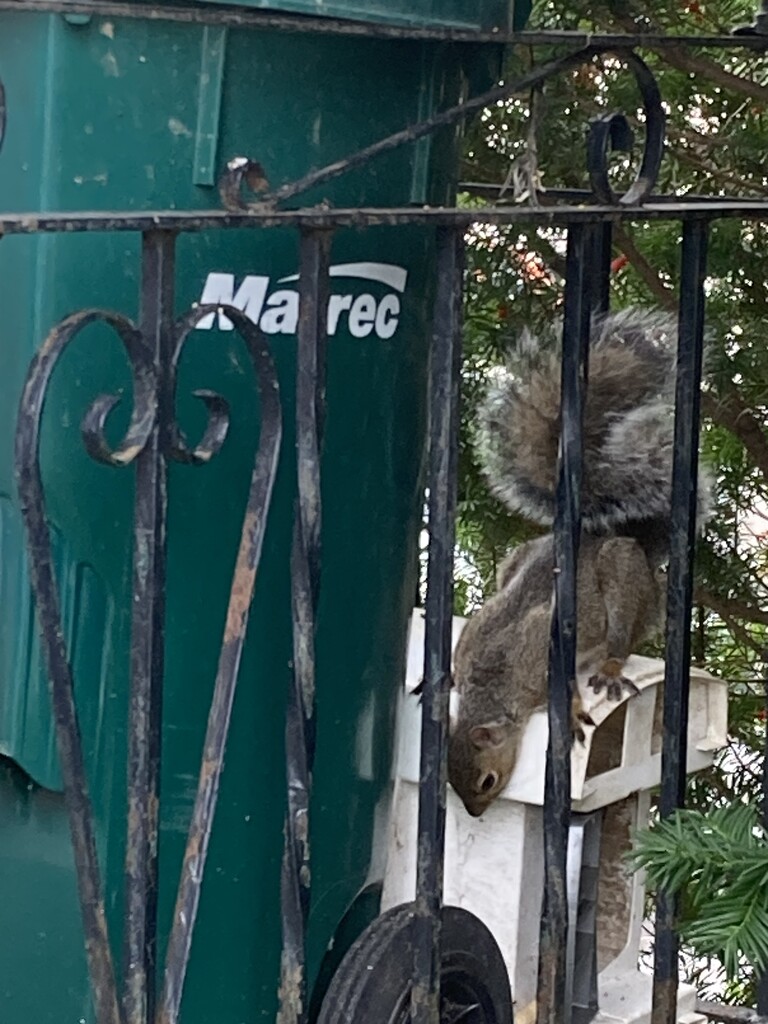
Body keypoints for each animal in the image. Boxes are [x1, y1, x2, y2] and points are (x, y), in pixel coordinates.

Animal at [447, 308, 712, 817]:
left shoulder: (543, 657)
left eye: (487, 780)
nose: (476, 815)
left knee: (622, 635)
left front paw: (568, 715)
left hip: (624, 578)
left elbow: (564, 687)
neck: (493, 686)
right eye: (453, 784)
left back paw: (609, 667)